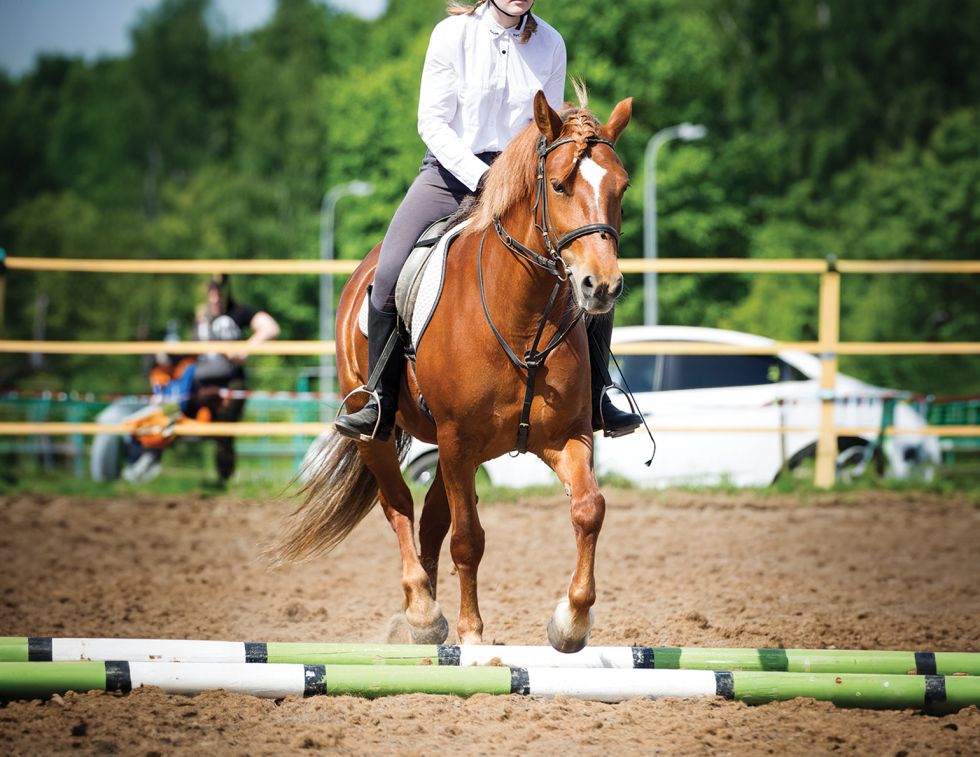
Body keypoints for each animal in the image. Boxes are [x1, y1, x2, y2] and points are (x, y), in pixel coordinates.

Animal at [275, 89, 632, 653]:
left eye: (621, 186)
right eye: (559, 184)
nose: (603, 286)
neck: (521, 318)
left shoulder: (567, 436)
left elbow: (588, 509)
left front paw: (571, 622)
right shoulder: (459, 441)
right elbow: (468, 539)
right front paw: (471, 634)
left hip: (454, 452)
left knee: (430, 521)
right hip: (389, 437)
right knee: (399, 505)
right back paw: (423, 612)